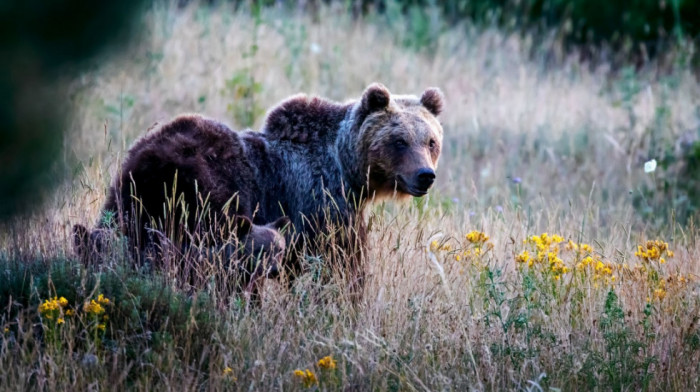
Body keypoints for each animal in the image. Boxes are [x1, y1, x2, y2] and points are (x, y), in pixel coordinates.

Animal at [94, 82, 442, 296]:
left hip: (130, 194)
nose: (425, 175)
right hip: (209, 195)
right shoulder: (321, 203)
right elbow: (339, 263)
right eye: (399, 141)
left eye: (431, 141)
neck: (348, 170)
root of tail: (153, 160)